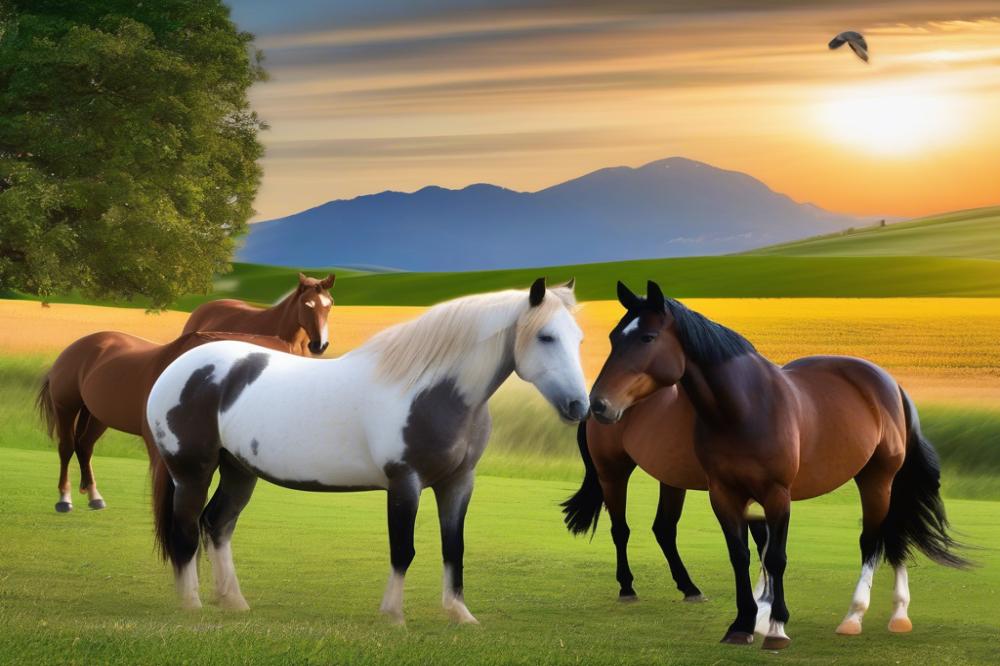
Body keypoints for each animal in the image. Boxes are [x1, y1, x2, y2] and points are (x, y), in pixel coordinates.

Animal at [37, 331, 293, 513]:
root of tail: (76, 347)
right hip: (66, 408)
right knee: (67, 447)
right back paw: (64, 500)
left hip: (98, 416)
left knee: (85, 446)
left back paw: (94, 497)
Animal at [566, 280, 966, 650]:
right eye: (615, 337)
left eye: (648, 337)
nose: (598, 403)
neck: (744, 407)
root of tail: (888, 383)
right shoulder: (725, 493)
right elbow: (741, 553)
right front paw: (744, 623)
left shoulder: (777, 494)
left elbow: (774, 556)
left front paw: (775, 627)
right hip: (619, 472)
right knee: (637, 528)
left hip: (878, 477)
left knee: (876, 538)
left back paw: (861, 616)